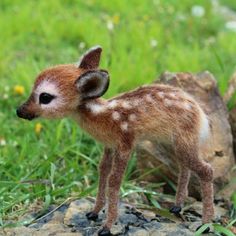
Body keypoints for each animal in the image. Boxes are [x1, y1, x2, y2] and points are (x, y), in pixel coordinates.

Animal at [17, 46, 214, 236]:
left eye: (45, 97)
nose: (19, 111)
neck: (102, 115)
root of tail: (201, 116)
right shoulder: (109, 145)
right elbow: (103, 171)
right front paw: (93, 213)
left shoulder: (125, 143)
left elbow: (114, 180)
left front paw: (106, 227)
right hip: (174, 142)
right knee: (184, 166)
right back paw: (177, 207)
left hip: (183, 139)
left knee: (206, 170)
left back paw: (205, 224)